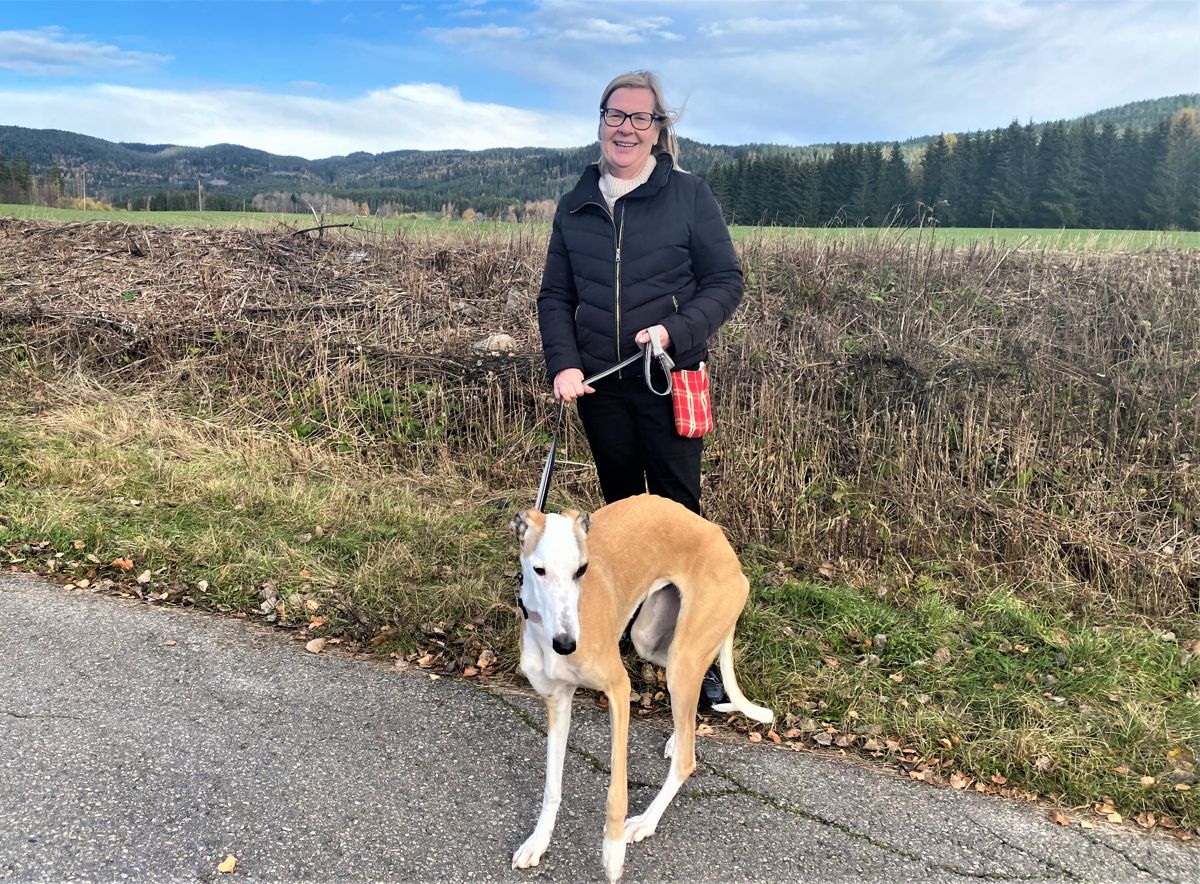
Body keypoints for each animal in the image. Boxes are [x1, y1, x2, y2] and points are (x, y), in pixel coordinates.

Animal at [508, 494, 772, 878]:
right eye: (539, 570)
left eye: (581, 570)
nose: (567, 644)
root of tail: (721, 541)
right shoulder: (557, 700)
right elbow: (552, 786)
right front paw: (538, 842)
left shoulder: (619, 689)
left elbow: (616, 790)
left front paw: (613, 851)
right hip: (653, 640)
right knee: (684, 702)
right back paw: (680, 735)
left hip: (683, 656)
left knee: (687, 760)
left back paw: (646, 821)